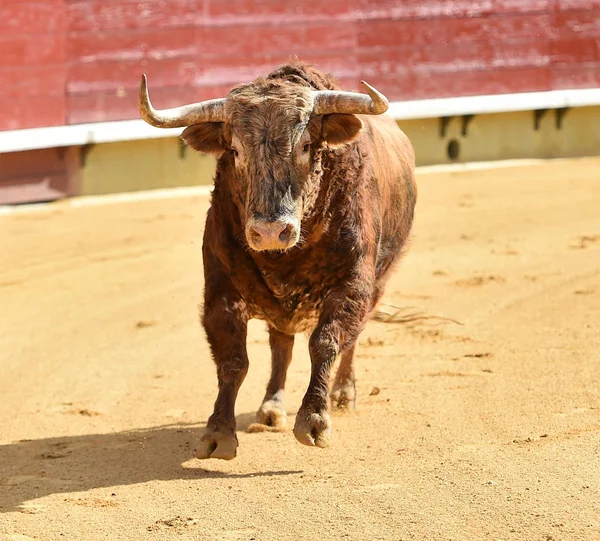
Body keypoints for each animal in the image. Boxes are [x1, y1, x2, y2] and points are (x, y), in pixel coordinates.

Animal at [139, 61, 418, 458]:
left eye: (306, 145)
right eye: (235, 149)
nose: (271, 232)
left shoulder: (352, 287)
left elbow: (326, 343)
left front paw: (315, 420)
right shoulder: (221, 290)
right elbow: (233, 359)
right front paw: (218, 432)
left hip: (378, 284)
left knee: (350, 340)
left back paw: (343, 394)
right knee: (280, 346)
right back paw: (271, 407)